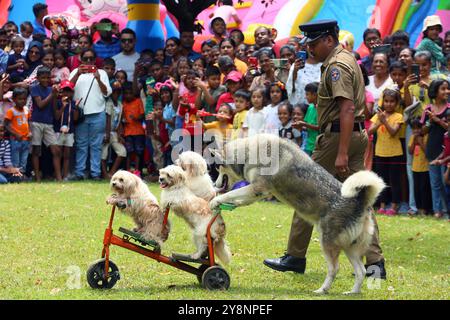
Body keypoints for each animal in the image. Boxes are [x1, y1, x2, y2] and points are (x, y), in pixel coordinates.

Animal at [210, 134, 384, 294]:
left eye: (218, 169)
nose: (215, 185)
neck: (249, 152)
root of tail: (359, 201)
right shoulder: (259, 193)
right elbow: (239, 198)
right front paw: (228, 203)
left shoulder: (257, 188)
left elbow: (231, 194)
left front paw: (215, 201)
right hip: (349, 246)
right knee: (361, 271)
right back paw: (353, 292)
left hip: (327, 242)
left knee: (335, 269)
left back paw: (322, 290)